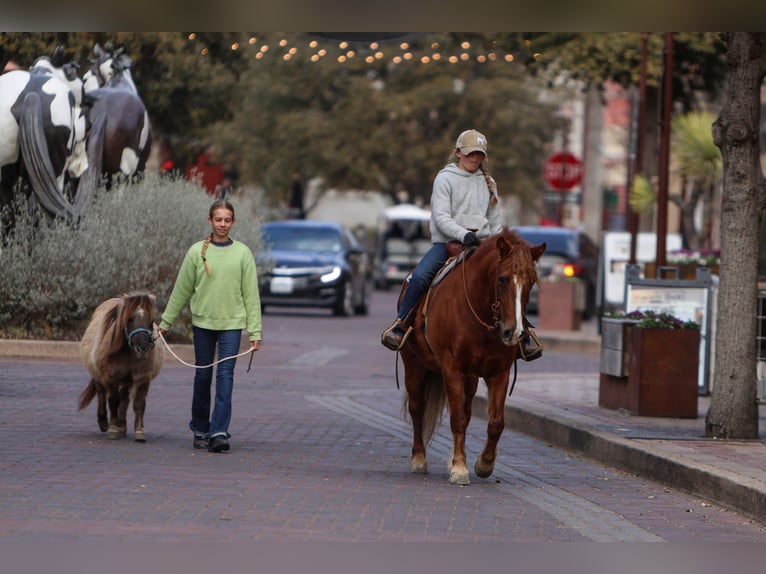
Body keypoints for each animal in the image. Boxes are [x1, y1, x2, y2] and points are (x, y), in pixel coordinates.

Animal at [79, 294, 164, 444]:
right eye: (129, 319)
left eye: (151, 320)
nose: (143, 348)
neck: (127, 352)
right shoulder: (110, 378)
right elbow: (113, 401)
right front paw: (113, 428)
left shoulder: (143, 378)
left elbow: (138, 403)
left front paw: (139, 431)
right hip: (99, 376)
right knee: (102, 394)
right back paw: (104, 422)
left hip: (126, 381)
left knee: (124, 398)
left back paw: (122, 425)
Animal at [396, 230, 544, 486]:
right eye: (502, 279)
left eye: (531, 282)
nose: (514, 332)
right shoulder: (452, 370)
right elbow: (456, 418)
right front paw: (459, 469)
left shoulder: (499, 373)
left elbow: (495, 422)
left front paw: (484, 463)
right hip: (413, 363)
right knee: (417, 408)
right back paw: (419, 459)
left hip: (471, 379)